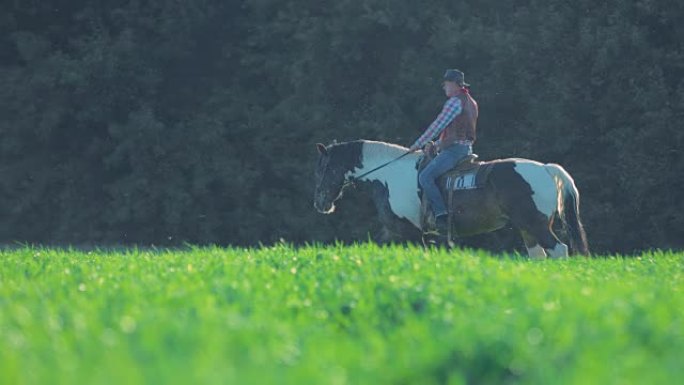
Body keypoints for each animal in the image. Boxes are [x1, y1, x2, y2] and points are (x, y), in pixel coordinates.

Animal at [314, 139, 588, 258]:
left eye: (325, 168)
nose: (319, 203)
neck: (389, 174)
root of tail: (546, 169)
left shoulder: (408, 232)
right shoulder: (400, 232)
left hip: (535, 224)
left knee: (559, 249)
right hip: (526, 228)